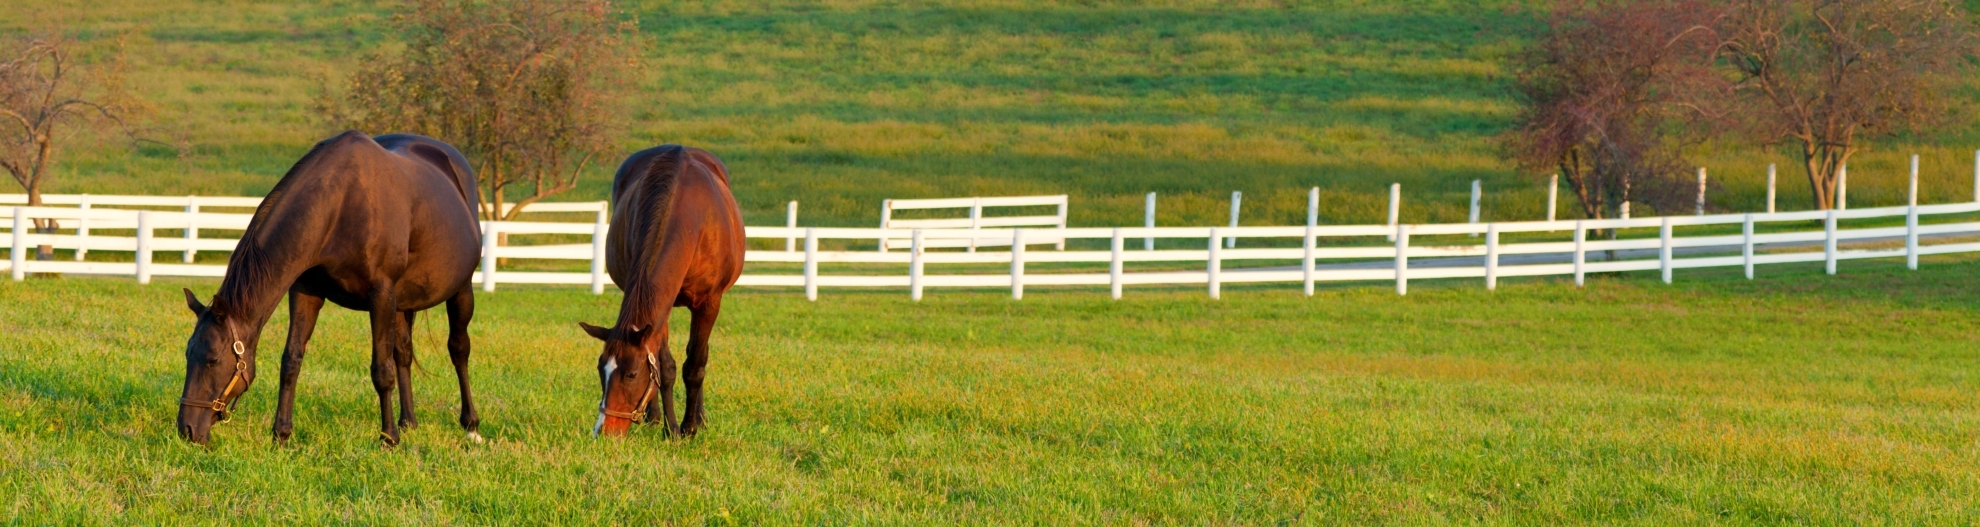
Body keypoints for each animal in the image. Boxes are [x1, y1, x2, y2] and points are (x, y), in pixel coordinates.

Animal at [174, 131, 484, 447]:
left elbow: (381, 370)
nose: (187, 429)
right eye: (188, 354)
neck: (341, 206)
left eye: (212, 360)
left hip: (461, 290)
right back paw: (408, 421)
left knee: (459, 349)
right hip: (403, 302)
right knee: (404, 354)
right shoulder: (306, 291)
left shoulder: (381, 294)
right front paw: (281, 434)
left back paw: (470, 424)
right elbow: (291, 360)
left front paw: (388, 438)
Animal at [578, 145, 744, 437]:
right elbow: (664, 367)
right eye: (600, 369)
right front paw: (671, 428)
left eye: (631, 374)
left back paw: (699, 417)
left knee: (699, 355)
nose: (604, 431)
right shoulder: (660, 306)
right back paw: (654, 417)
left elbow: (695, 364)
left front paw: (689, 427)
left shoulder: (710, 302)